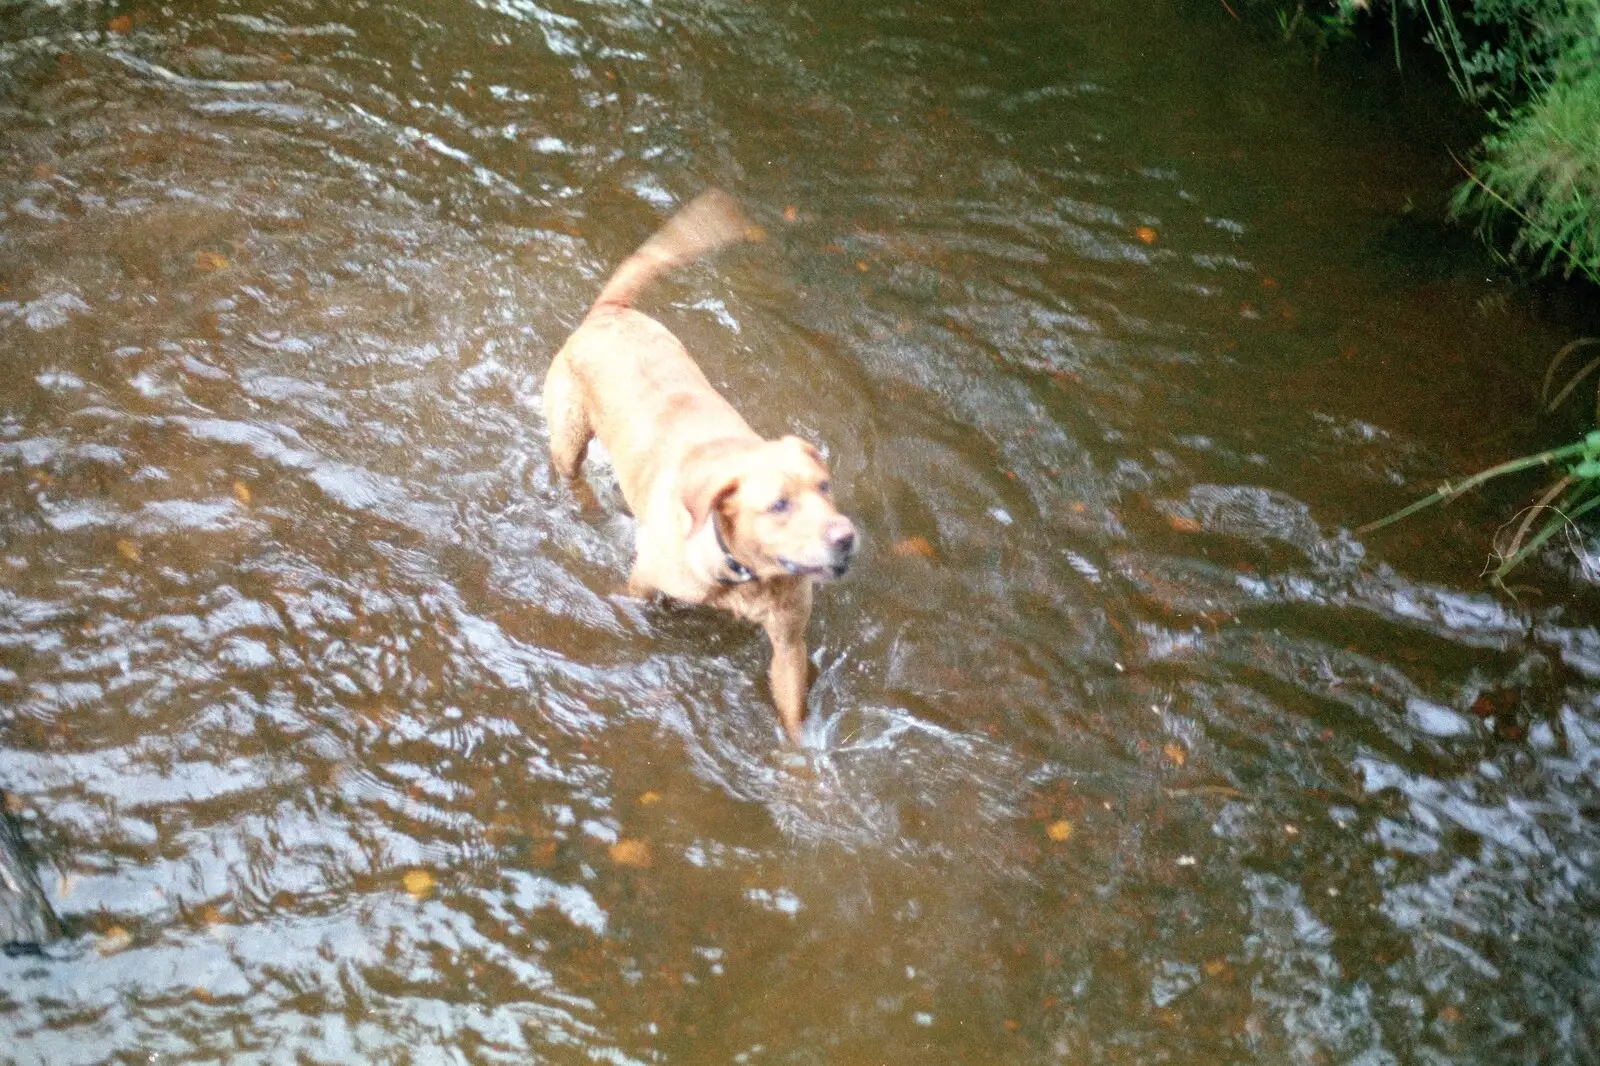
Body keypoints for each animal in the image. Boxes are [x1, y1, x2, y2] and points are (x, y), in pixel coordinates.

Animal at [544, 188, 857, 739]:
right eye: (779, 505)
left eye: (824, 487)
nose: (846, 537)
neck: (747, 576)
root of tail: (610, 312)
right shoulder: (643, 585)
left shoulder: (789, 645)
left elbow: (793, 716)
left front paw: (803, 762)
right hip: (568, 437)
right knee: (572, 475)